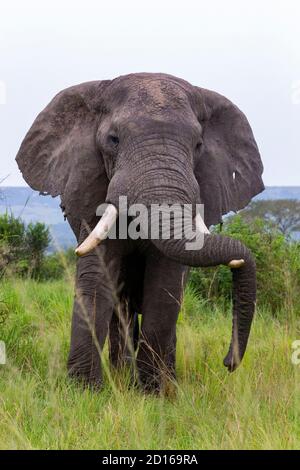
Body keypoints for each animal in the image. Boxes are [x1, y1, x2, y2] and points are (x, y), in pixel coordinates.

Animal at [15, 73, 262, 392]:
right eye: (114, 139)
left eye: (198, 145)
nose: (228, 362)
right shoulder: (89, 182)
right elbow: (96, 275)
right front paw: (86, 392)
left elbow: (166, 282)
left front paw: (154, 393)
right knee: (121, 307)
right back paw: (121, 373)